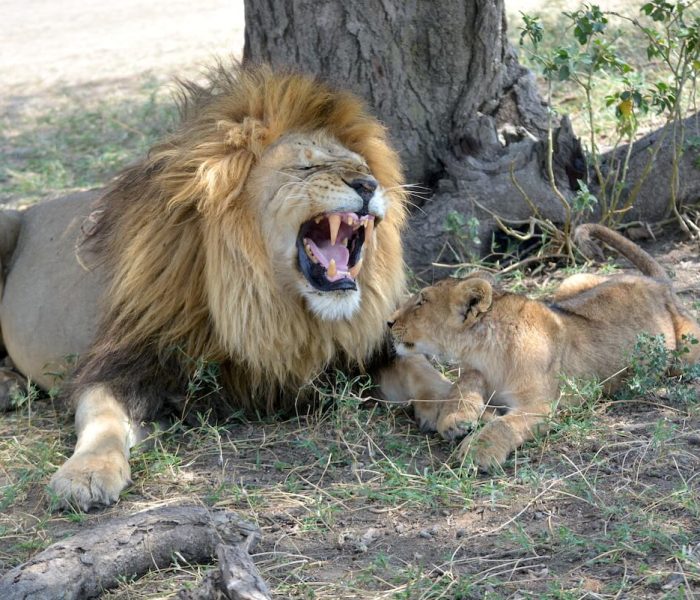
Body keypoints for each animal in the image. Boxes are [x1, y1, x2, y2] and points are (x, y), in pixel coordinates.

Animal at [0, 63, 448, 508]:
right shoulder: (125, 360)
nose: (369, 186)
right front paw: (86, 474)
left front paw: (456, 404)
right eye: (306, 168)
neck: (272, 304)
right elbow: (101, 418)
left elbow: (418, 366)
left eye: (365, 169)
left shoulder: (357, 351)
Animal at [388, 224, 700, 468]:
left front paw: (478, 450)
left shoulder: (540, 405)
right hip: (571, 282)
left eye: (421, 301)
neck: (484, 350)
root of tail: (656, 284)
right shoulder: (475, 370)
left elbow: (504, 424)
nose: (389, 322)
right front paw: (455, 418)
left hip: (686, 352)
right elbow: (463, 384)